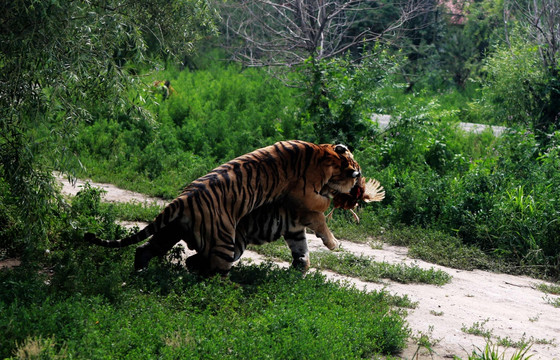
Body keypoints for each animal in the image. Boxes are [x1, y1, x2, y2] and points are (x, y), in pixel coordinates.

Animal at [85, 141, 360, 276]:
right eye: (355, 170)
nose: (358, 181)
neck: (322, 152)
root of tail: (182, 200)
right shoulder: (304, 200)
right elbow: (321, 214)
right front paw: (334, 243)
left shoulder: (294, 226)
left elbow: (301, 251)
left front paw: (298, 272)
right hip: (226, 245)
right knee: (209, 272)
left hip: (168, 233)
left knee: (145, 250)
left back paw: (139, 275)